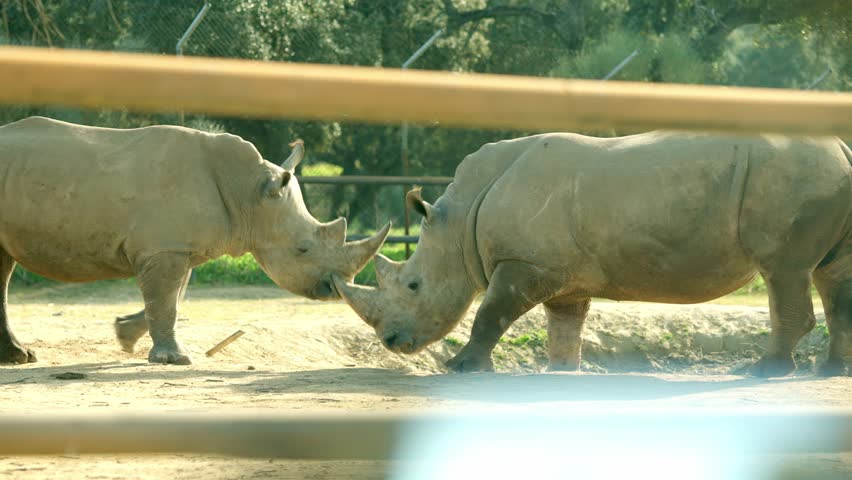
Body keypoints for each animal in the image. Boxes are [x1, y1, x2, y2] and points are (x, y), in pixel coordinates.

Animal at [0, 116, 389, 365]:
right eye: (303, 249)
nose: (333, 289)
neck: (248, 193)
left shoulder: (175, 247)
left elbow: (173, 297)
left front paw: (126, 335)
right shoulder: (165, 248)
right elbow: (167, 300)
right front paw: (173, 360)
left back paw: (20, 358)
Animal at [334, 132, 852, 377]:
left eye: (413, 285)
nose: (391, 343)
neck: (458, 224)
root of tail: (842, 148)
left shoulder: (524, 263)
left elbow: (490, 314)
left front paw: (460, 368)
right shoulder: (560, 272)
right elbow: (564, 324)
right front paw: (562, 371)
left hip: (794, 176)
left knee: (785, 270)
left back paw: (763, 372)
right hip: (818, 176)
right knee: (832, 277)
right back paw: (830, 370)